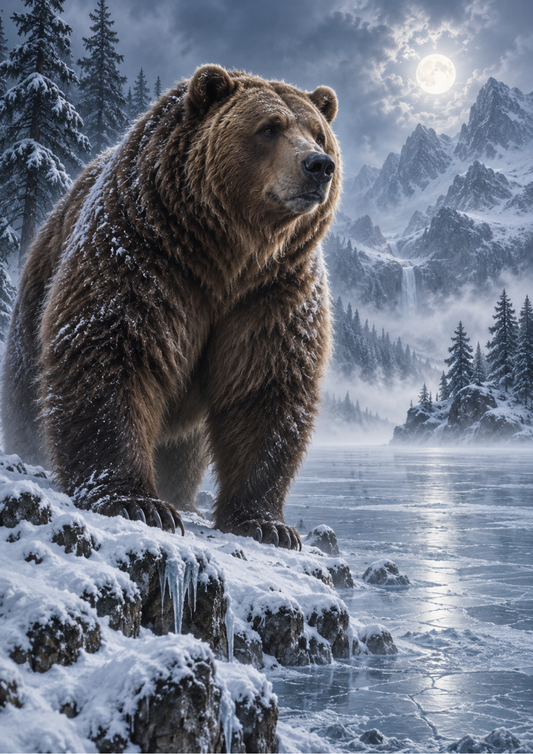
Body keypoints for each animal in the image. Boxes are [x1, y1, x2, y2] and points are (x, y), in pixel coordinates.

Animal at [1, 65, 341, 549]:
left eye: (318, 133)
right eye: (269, 127)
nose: (318, 165)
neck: (226, 256)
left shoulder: (273, 293)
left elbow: (266, 386)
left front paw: (267, 524)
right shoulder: (144, 252)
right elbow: (112, 351)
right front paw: (137, 502)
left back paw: (182, 495)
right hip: (34, 303)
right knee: (27, 400)